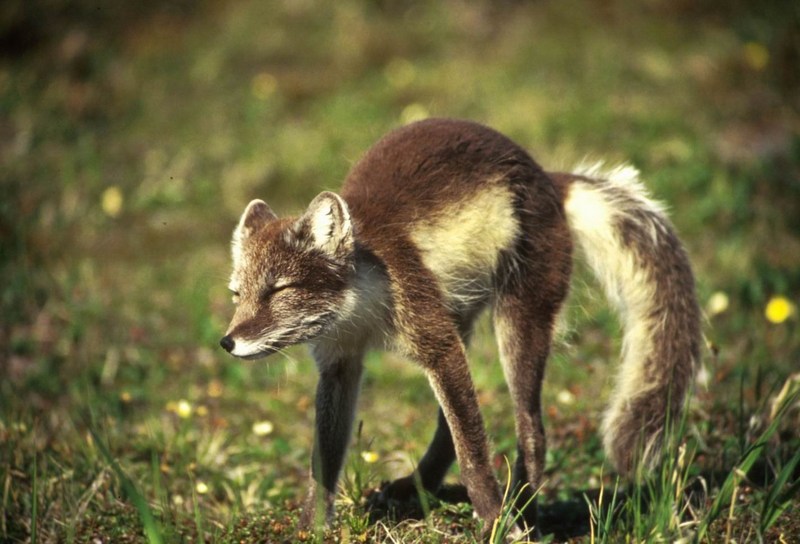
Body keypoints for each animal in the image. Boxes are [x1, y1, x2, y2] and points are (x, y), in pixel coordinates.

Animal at [220, 118, 700, 532]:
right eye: (237, 294)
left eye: (278, 290)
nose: (227, 342)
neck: (364, 314)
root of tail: (548, 176)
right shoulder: (340, 364)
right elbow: (324, 461)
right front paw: (311, 527)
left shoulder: (435, 341)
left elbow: (473, 454)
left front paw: (495, 523)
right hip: (462, 320)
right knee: (450, 430)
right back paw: (418, 487)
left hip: (516, 322)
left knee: (532, 431)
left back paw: (523, 509)